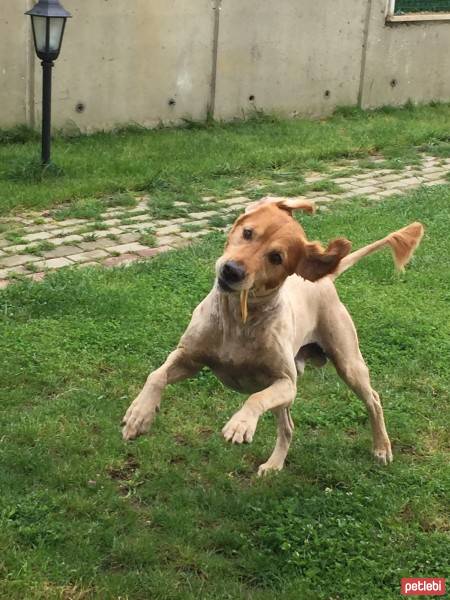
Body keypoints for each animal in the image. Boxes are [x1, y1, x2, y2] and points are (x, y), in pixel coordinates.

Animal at [121, 199, 424, 476]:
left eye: (276, 257)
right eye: (247, 233)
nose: (231, 270)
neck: (238, 319)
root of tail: (324, 279)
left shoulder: (286, 383)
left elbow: (255, 399)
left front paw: (241, 424)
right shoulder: (188, 357)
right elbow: (156, 375)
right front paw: (139, 415)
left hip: (347, 363)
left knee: (373, 399)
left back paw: (381, 448)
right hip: (288, 398)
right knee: (288, 428)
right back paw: (274, 464)